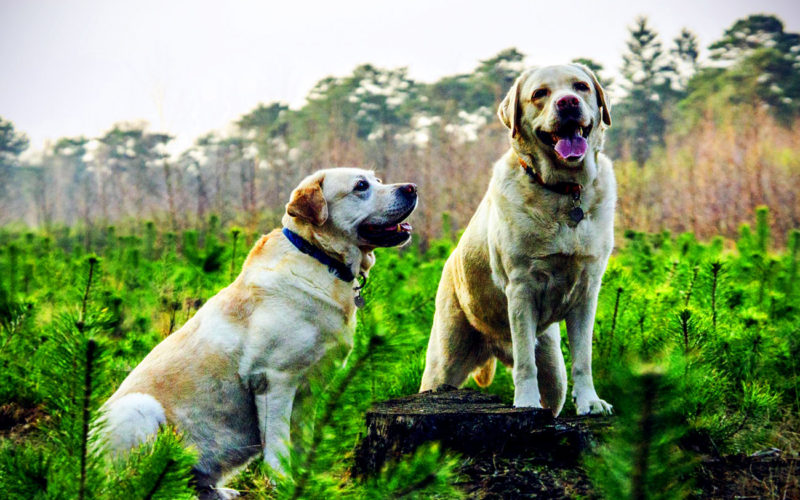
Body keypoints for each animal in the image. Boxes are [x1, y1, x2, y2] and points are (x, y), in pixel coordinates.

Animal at [97, 169, 416, 500]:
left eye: (377, 180)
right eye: (360, 186)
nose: (411, 188)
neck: (318, 257)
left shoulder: (308, 391)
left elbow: (301, 441)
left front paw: (306, 482)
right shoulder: (274, 380)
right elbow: (277, 445)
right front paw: (283, 485)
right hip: (138, 408)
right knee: (128, 484)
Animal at [422, 65, 616, 418]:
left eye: (580, 87)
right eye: (540, 94)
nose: (567, 102)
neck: (563, 191)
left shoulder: (587, 290)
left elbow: (583, 359)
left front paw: (591, 402)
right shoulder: (521, 288)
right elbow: (526, 363)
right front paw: (525, 403)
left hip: (553, 368)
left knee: (554, 389)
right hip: (443, 362)